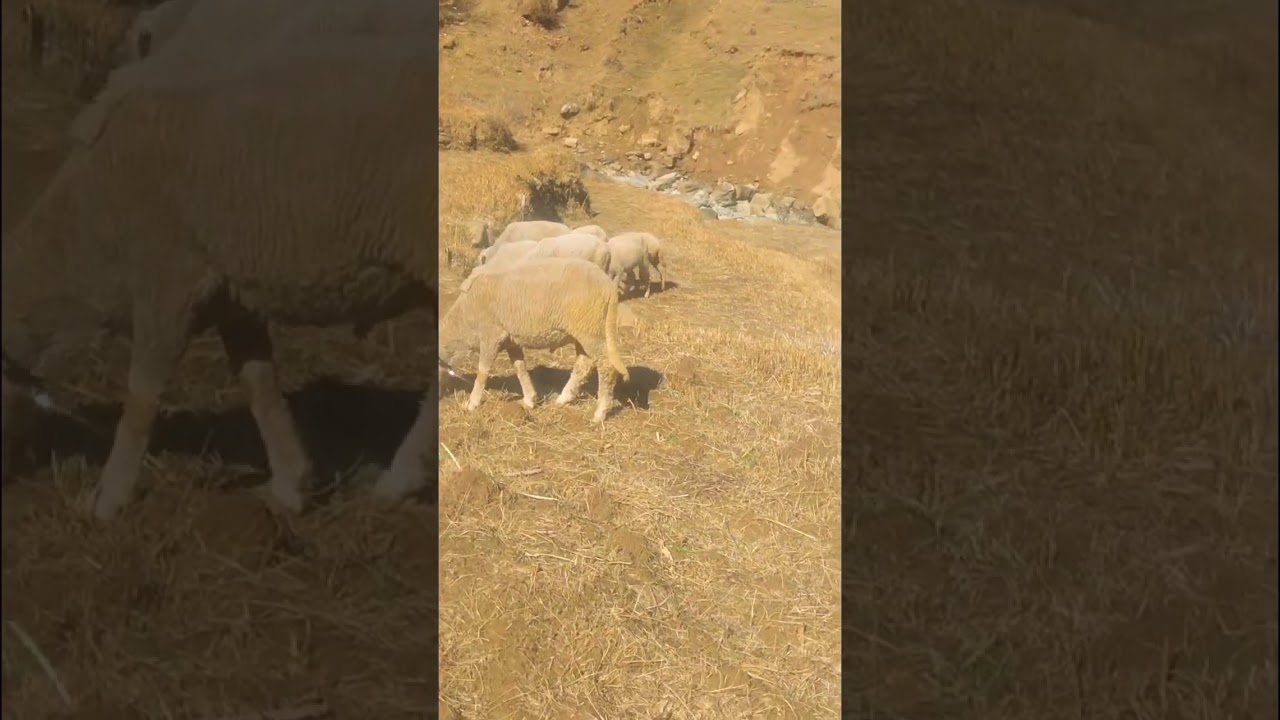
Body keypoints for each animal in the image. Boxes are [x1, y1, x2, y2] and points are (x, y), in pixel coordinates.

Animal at [2, 7, 443, 520]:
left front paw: (108, 498)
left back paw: (399, 480)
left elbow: (141, 397)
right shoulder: (231, 293)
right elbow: (259, 386)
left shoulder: (167, 281)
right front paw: (291, 484)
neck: (83, 226)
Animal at [435, 257, 630, 425]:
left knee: (606, 366)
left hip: (590, 329)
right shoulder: (511, 340)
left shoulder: (490, 335)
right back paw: (563, 399)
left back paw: (600, 413)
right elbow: (520, 368)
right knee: (583, 364)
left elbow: (482, 372)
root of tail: (608, 285)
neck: (463, 319)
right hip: (584, 329)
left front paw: (472, 403)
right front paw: (530, 399)